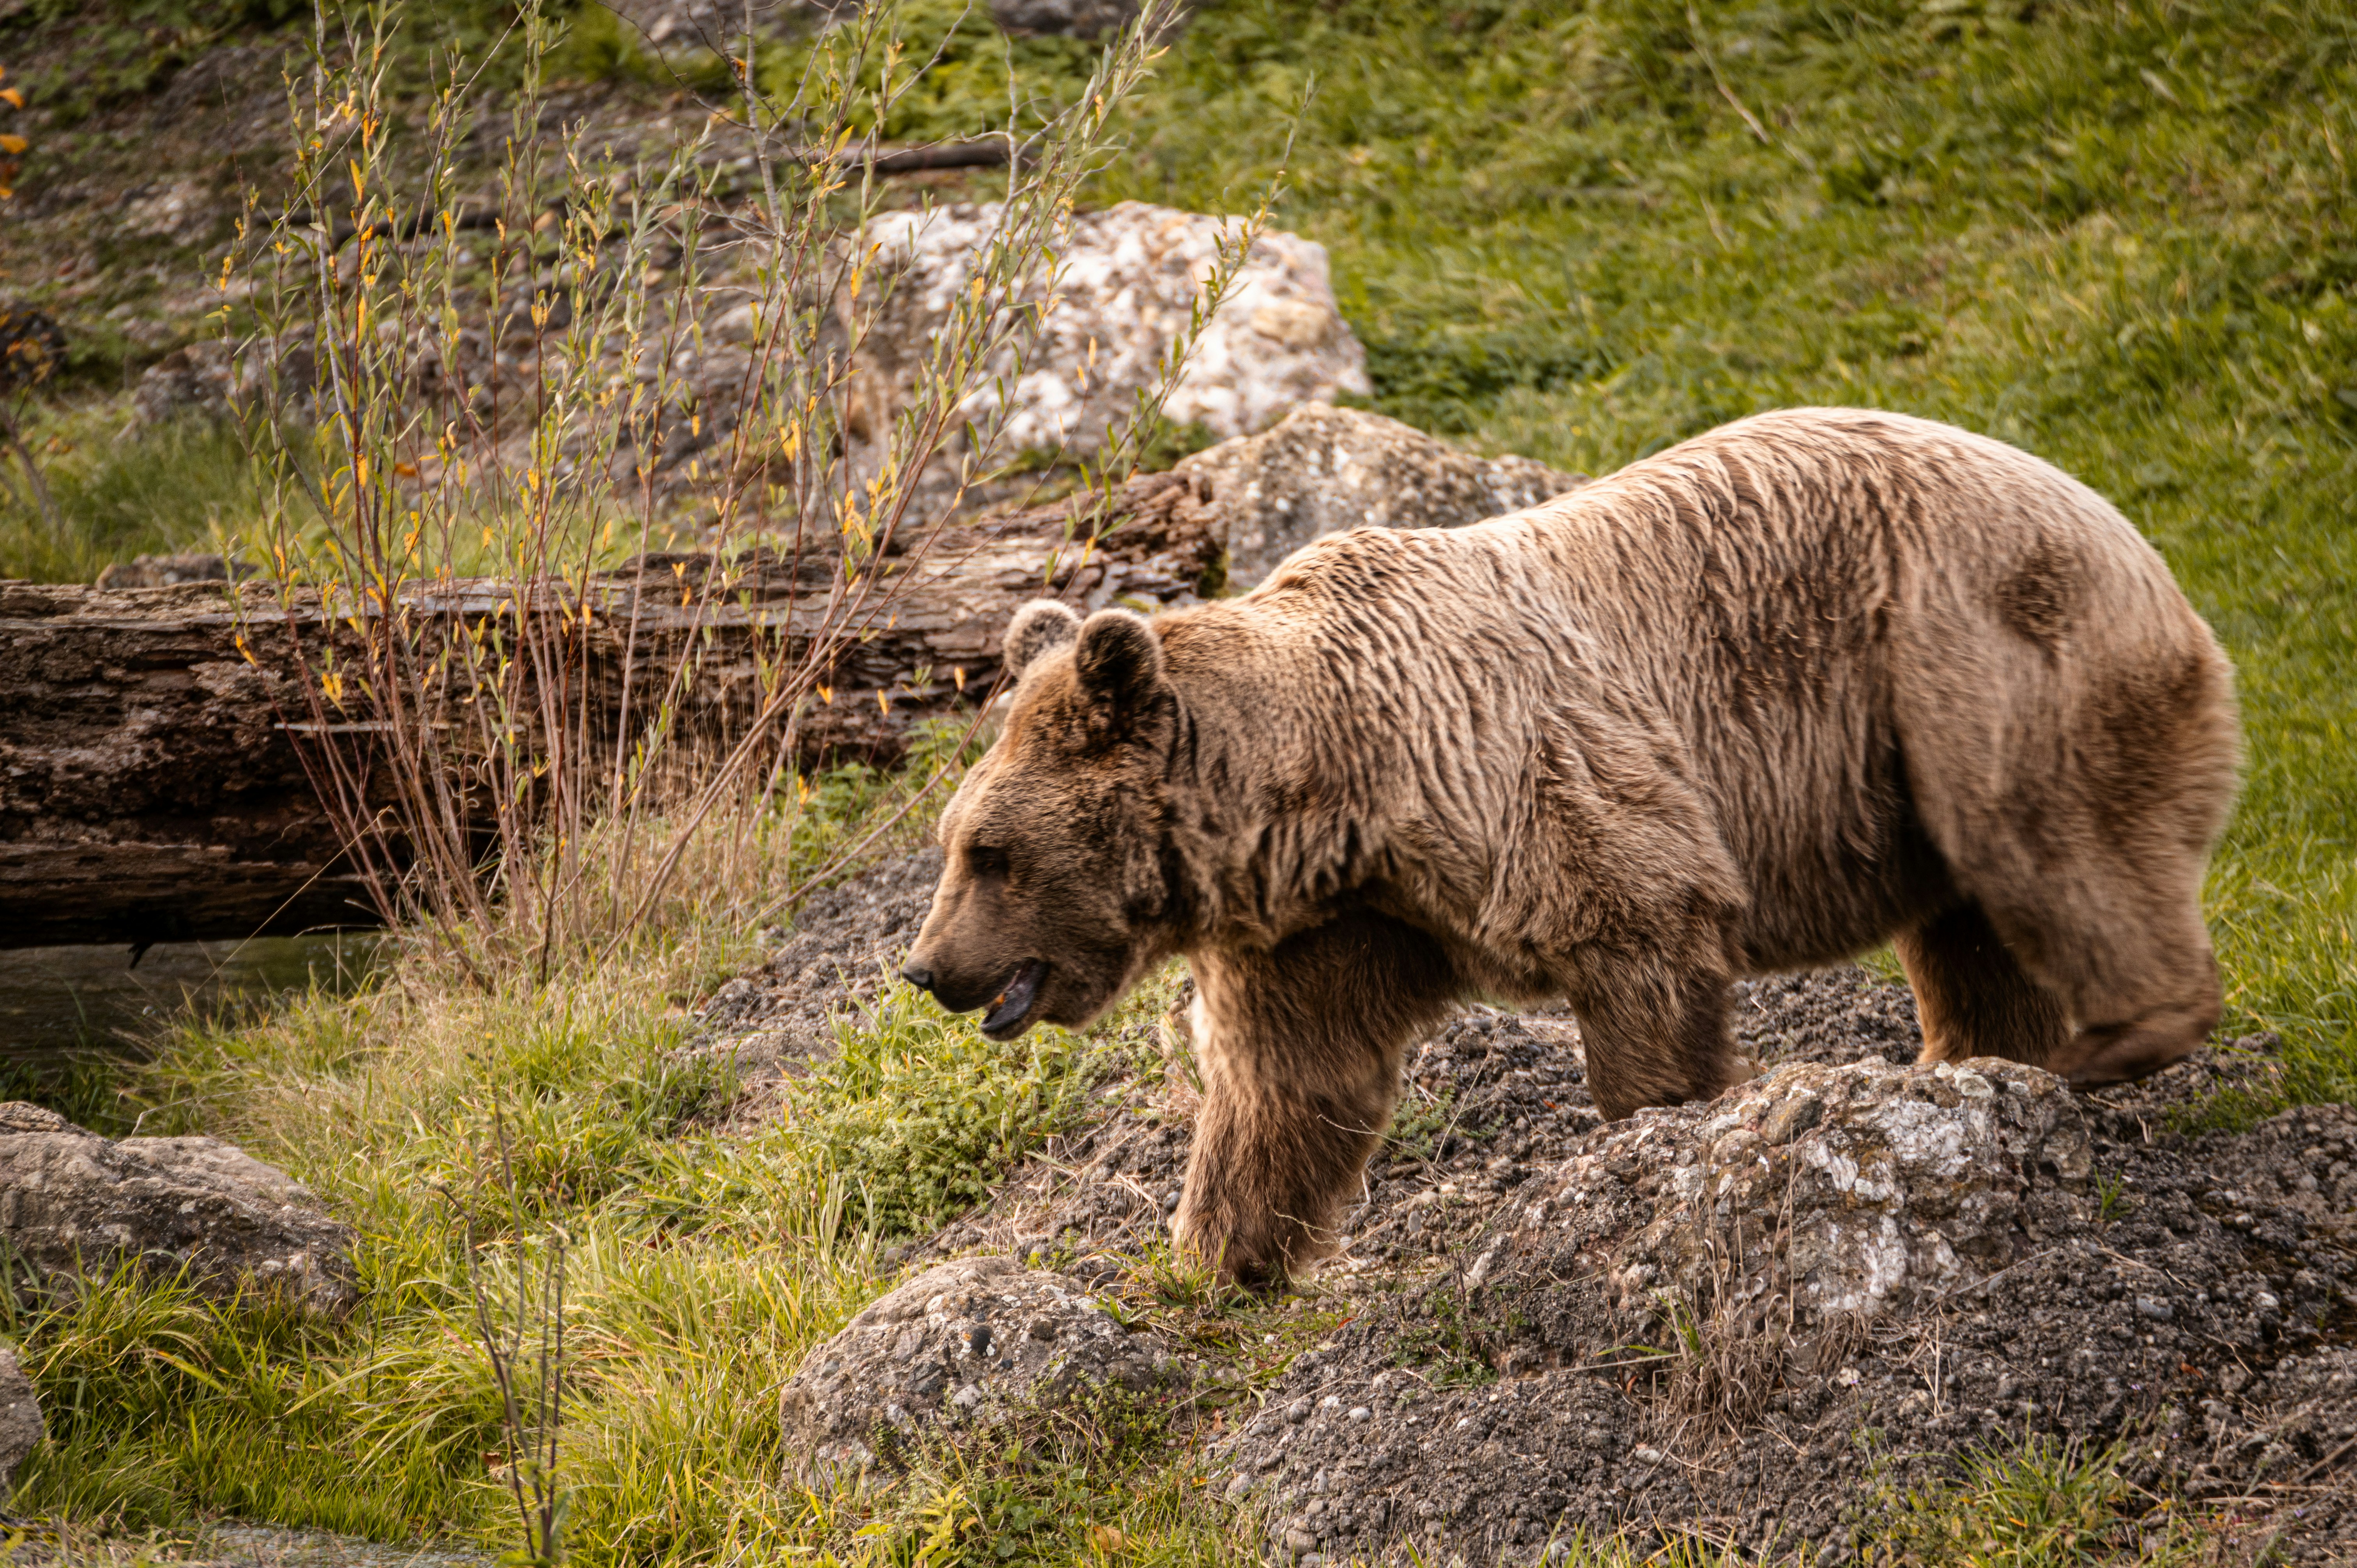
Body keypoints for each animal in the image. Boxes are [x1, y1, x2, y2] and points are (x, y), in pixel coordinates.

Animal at [900, 406, 2240, 1285]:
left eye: (991, 852)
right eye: (956, 842)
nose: (926, 968)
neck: (1334, 787)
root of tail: (2122, 527)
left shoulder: (1528, 771)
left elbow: (1638, 935)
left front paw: (1656, 1139)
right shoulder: (1335, 920)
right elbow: (1290, 1083)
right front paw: (1210, 1261)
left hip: (1970, 647)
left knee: (2055, 842)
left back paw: (2113, 1042)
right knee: (1972, 926)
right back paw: (1975, 1062)